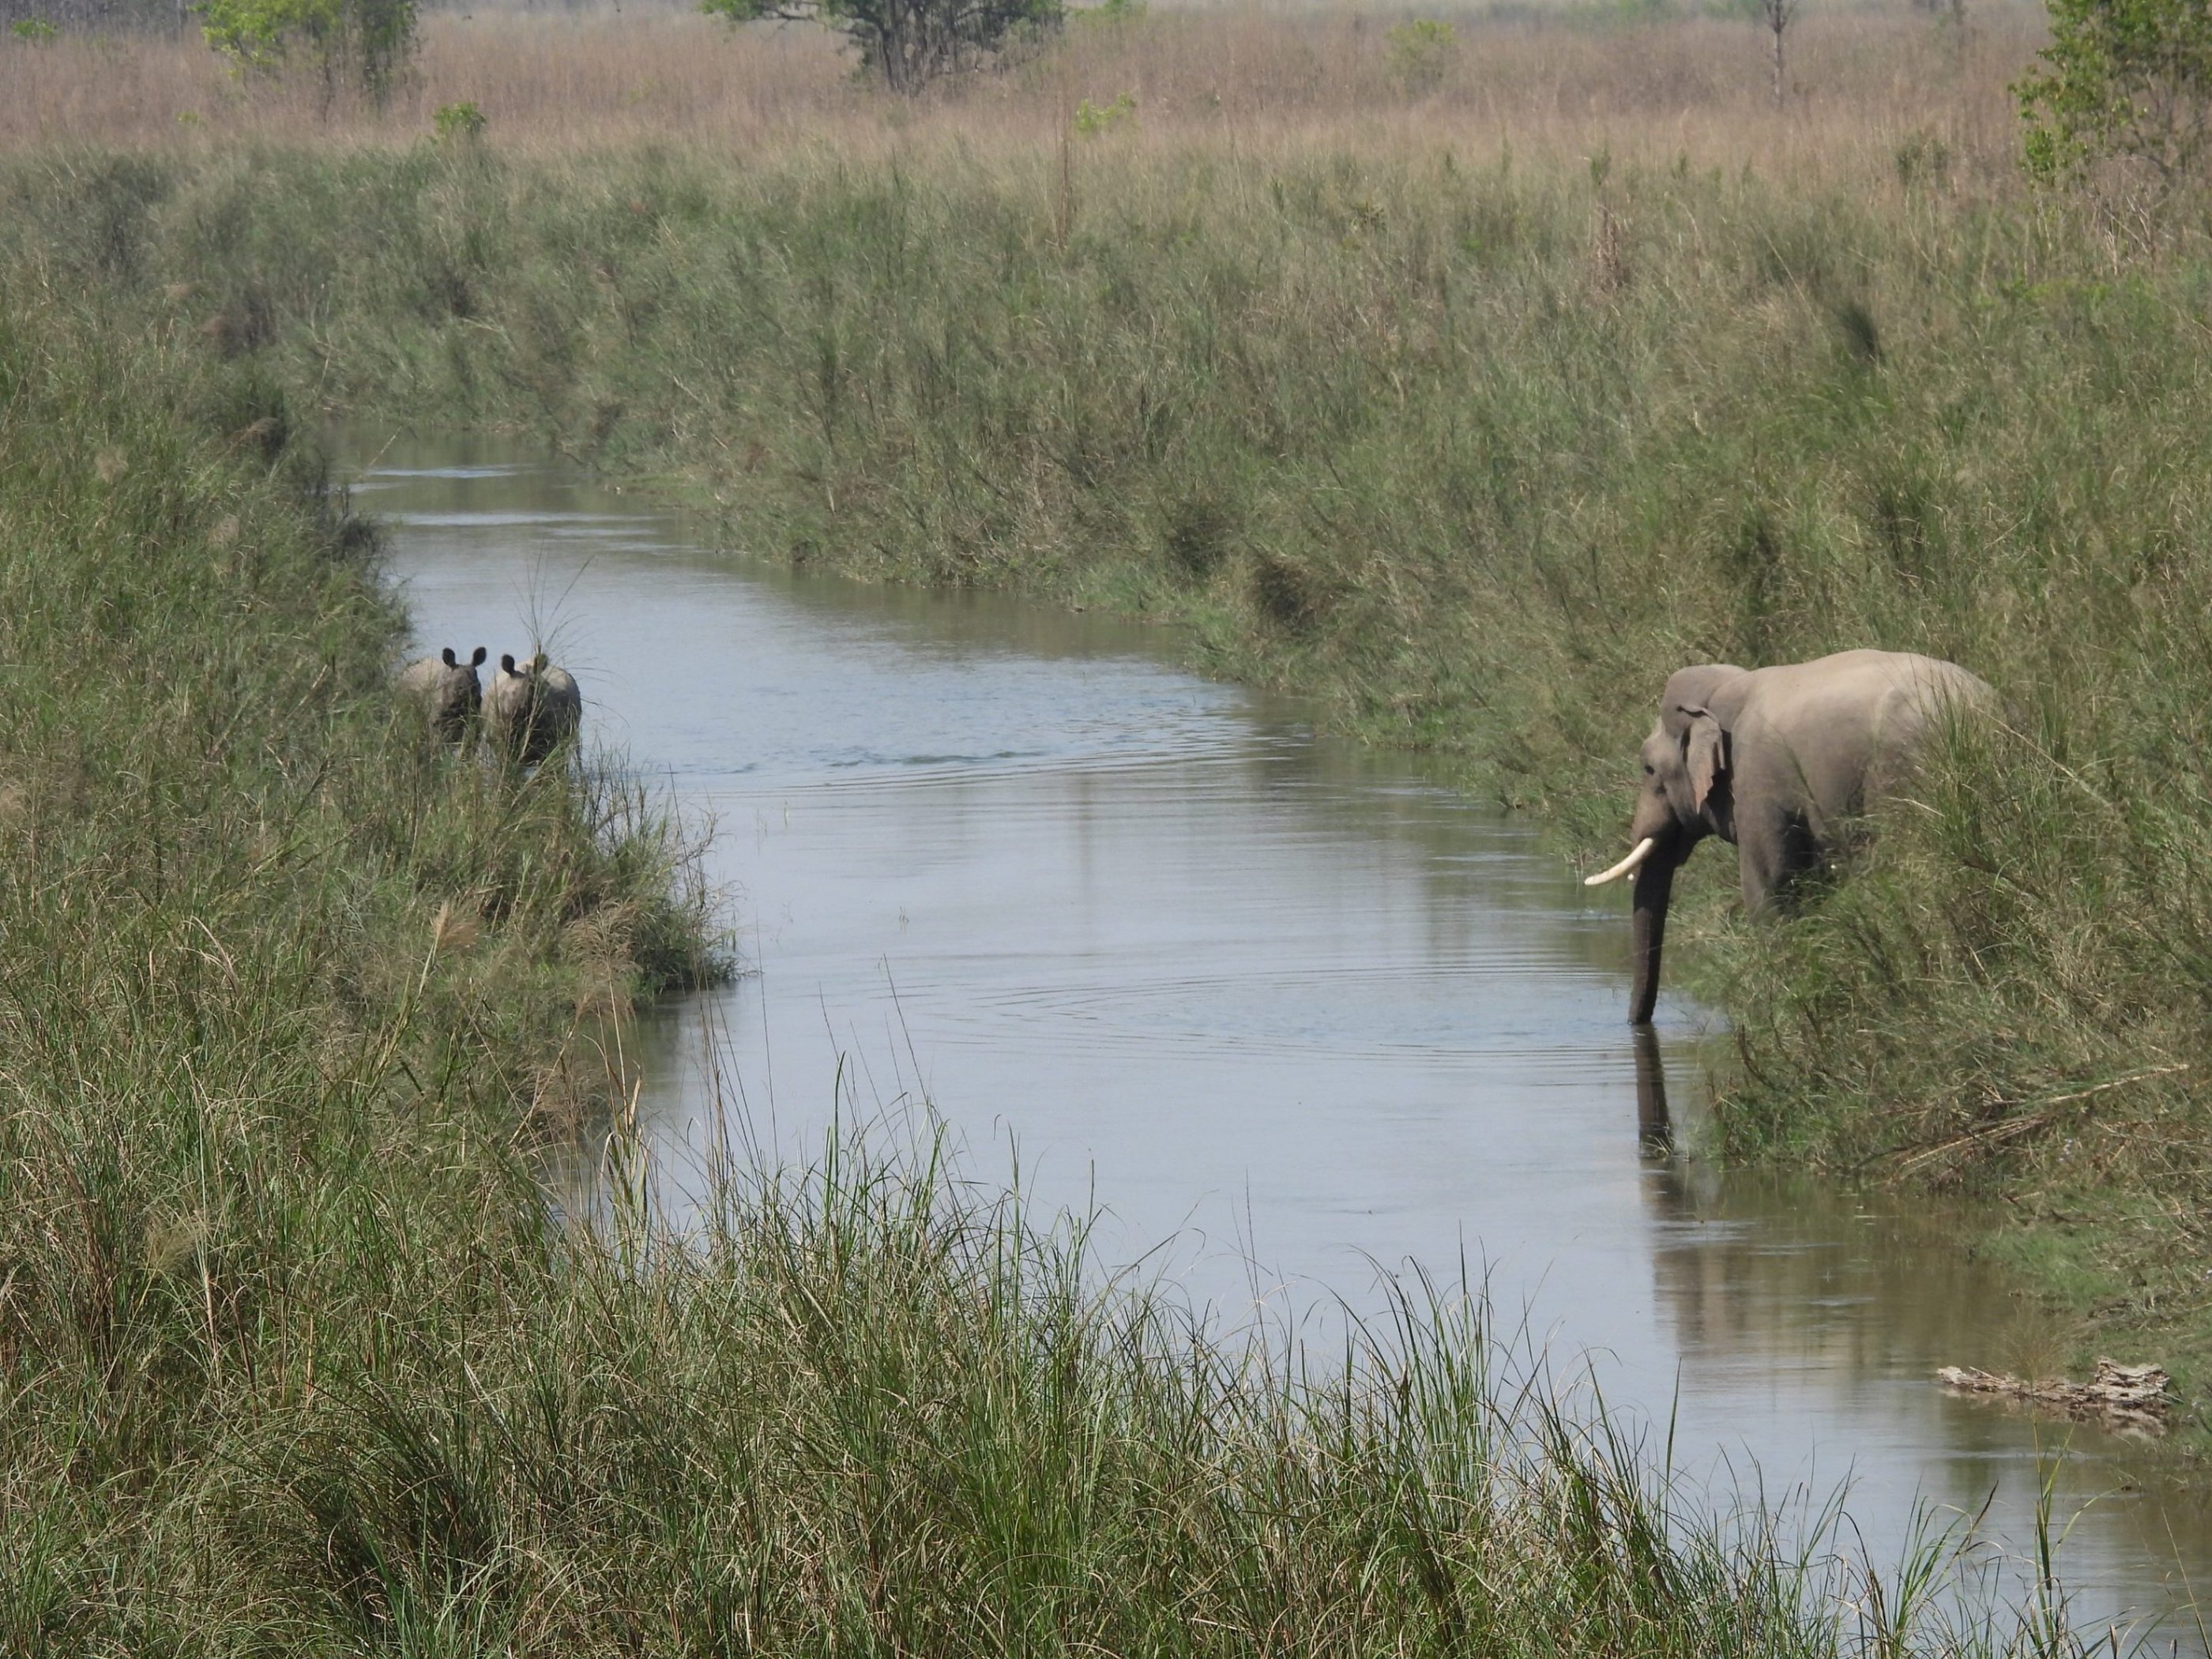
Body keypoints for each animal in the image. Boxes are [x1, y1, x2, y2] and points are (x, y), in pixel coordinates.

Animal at [1585, 648, 1993, 1025]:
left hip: (1902, 776)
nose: (1634, 1024)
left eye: (1648, 768)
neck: (1729, 688)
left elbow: (1772, 887)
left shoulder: (1756, 784)